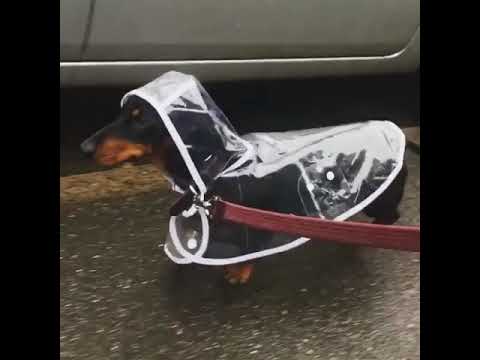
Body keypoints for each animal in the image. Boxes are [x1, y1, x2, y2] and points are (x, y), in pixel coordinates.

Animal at [81, 95, 408, 284]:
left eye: (140, 118)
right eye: (121, 113)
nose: (85, 148)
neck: (224, 161)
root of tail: (399, 134)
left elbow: (248, 247)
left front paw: (239, 271)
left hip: (378, 197)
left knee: (392, 216)